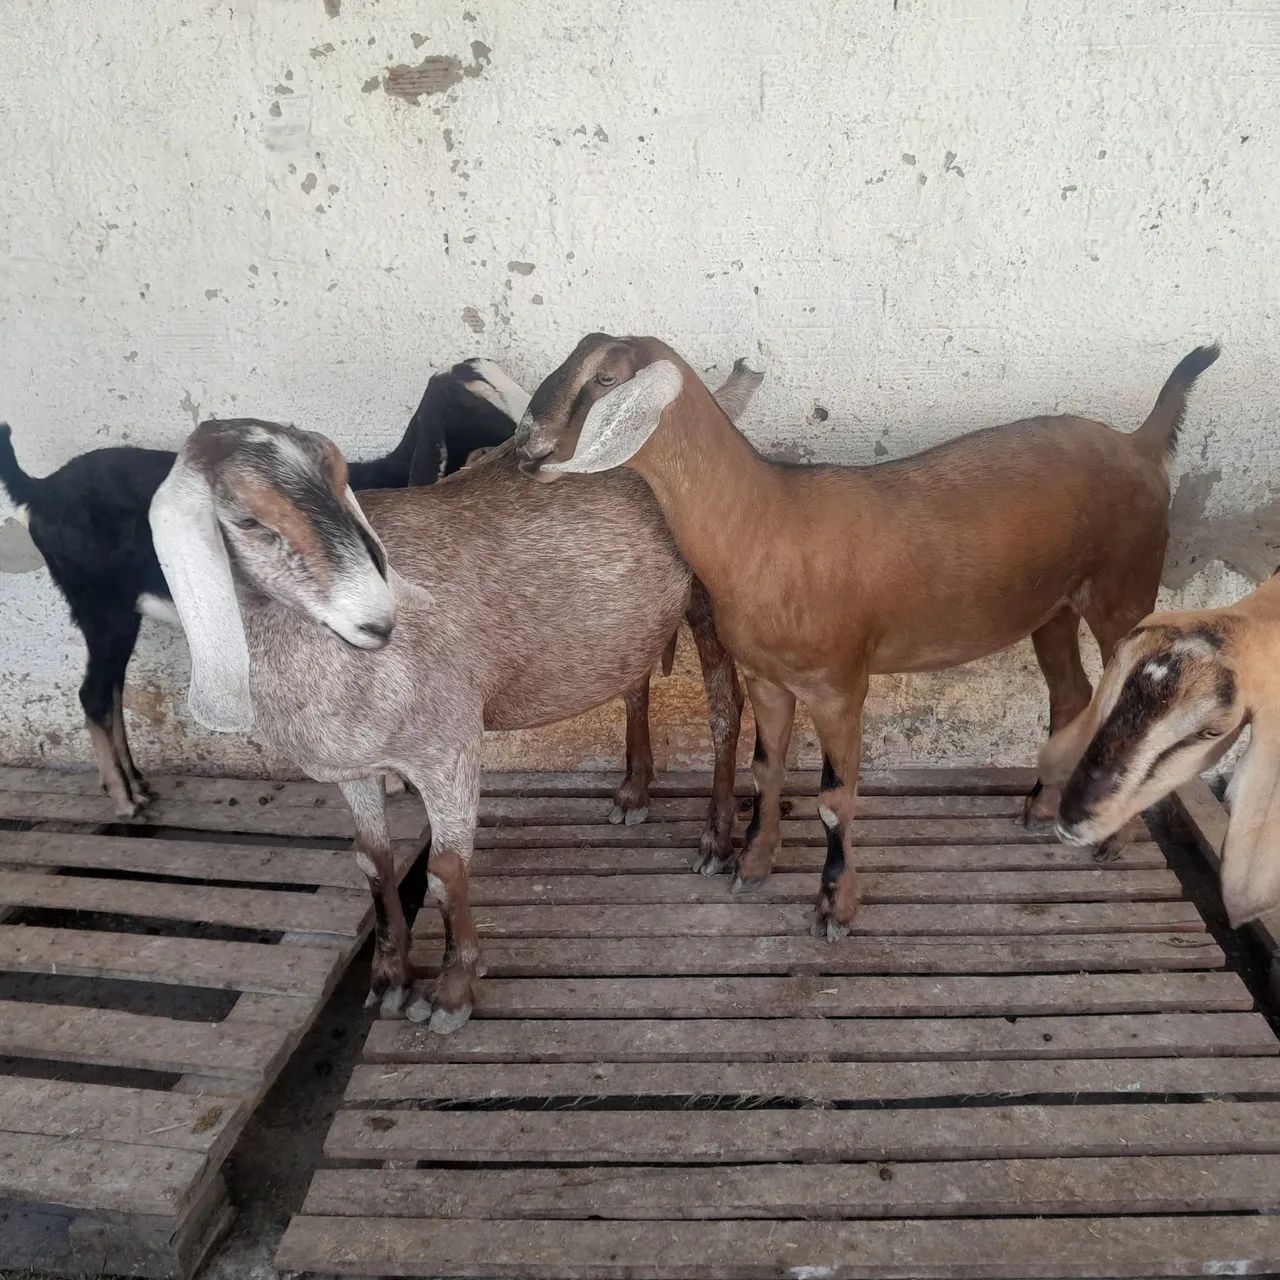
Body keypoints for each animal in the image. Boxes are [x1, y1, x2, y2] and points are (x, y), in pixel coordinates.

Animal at [0, 358, 528, 816]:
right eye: (475, 403)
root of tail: (38, 491)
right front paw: (392, 780)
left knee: (109, 692)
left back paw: (137, 784)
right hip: (101, 606)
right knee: (94, 693)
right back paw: (124, 797)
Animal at [149, 364, 758, 1033]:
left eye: (341, 484)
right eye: (247, 520)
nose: (376, 618)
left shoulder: (447, 748)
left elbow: (445, 873)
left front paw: (452, 991)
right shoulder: (353, 768)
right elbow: (373, 860)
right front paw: (389, 977)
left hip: (709, 597)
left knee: (725, 711)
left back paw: (716, 842)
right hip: (629, 625)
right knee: (634, 685)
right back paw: (634, 791)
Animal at [515, 332, 1220, 939]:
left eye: (606, 379)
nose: (528, 446)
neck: (764, 524)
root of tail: (1139, 444)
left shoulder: (839, 687)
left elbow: (835, 799)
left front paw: (835, 907)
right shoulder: (767, 678)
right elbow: (765, 770)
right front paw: (752, 865)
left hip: (1124, 593)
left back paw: (1110, 841)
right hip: (1053, 609)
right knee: (1070, 694)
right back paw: (1039, 810)